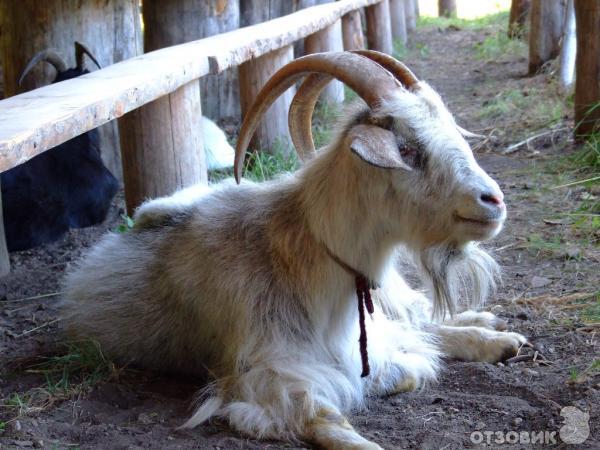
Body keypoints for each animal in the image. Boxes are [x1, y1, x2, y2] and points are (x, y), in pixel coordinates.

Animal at [63, 51, 528, 448]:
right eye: (408, 150)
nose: (493, 201)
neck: (303, 255)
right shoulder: (261, 372)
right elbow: (329, 416)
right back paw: (496, 334)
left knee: (418, 315)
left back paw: (495, 333)